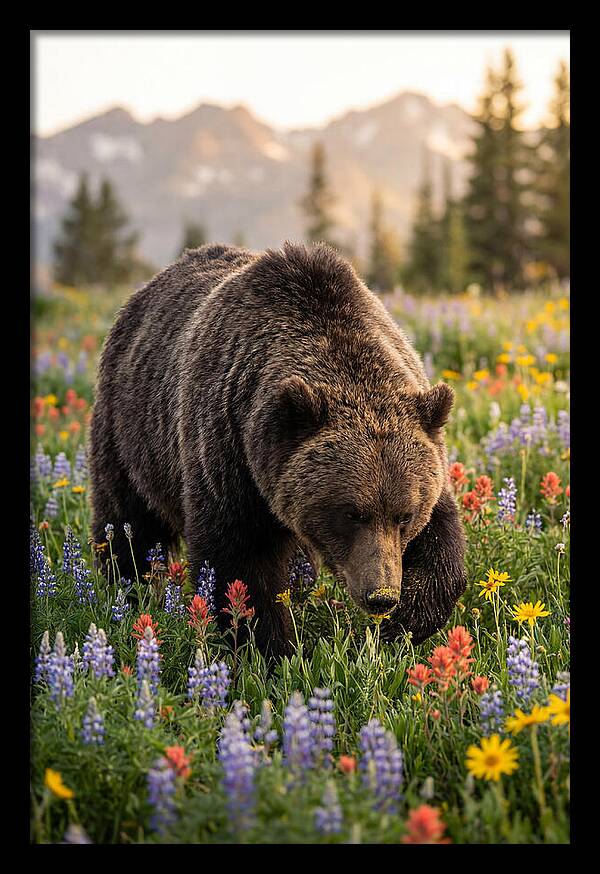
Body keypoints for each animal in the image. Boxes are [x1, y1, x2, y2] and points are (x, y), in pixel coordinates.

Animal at [89, 241, 466, 657]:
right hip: (130, 432)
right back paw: (126, 589)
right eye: (351, 513)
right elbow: (239, 563)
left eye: (405, 515)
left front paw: (406, 622)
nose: (380, 595)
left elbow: (442, 540)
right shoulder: (229, 452)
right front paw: (268, 649)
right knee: (128, 520)